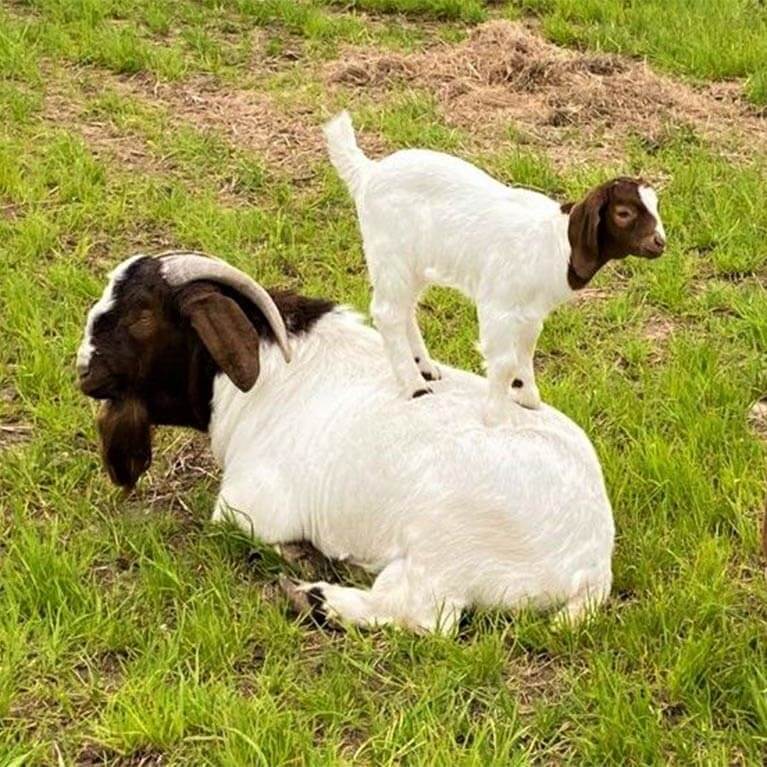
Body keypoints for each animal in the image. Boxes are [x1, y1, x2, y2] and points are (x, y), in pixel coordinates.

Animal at [77, 252, 615, 634]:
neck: (267, 374)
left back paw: (314, 597)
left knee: (424, 615)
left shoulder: (247, 508)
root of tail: (590, 563)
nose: (83, 370)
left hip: (443, 547)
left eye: (141, 316)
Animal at [324, 111, 666, 426]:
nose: (660, 242)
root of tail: (368, 173)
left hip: (413, 265)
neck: (557, 242)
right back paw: (415, 387)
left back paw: (425, 368)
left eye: (656, 206)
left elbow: (525, 352)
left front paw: (528, 397)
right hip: (390, 253)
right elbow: (503, 362)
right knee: (388, 313)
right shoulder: (498, 304)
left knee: (405, 309)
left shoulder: (531, 313)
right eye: (623, 213)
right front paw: (496, 416)